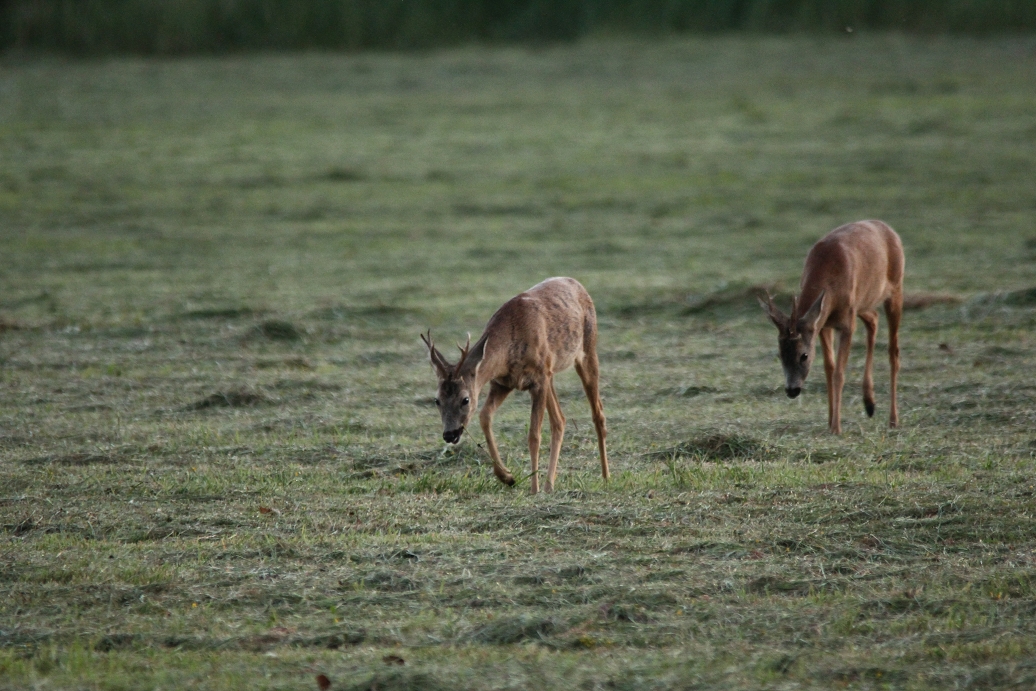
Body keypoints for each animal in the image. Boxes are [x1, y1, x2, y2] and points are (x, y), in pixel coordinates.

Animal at [424, 277, 609, 495]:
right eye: (437, 400)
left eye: (465, 399)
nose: (449, 434)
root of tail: (577, 284)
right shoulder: (503, 383)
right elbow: (485, 416)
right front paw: (508, 477)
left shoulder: (538, 380)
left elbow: (534, 435)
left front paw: (533, 488)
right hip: (550, 375)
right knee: (560, 420)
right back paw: (549, 485)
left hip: (586, 351)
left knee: (598, 413)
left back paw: (605, 477)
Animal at [758, 218, 903, 435]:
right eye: (780, 354)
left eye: (804, 355)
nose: (792, 390)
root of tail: (887, 228)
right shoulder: (823, 324)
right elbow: (829, 367)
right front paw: (829, 419)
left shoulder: (846, 324)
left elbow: (839, 373)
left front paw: (836, 427)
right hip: (863, 304)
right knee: (873, 319)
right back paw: (869, 403)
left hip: (895, 289)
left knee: (893, 351)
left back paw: (893, 420)